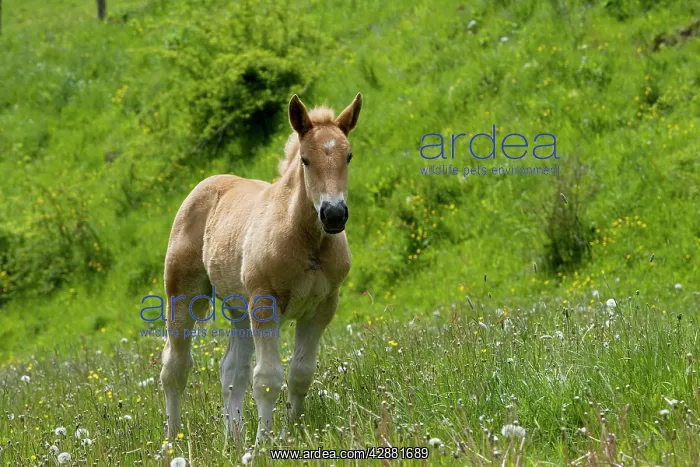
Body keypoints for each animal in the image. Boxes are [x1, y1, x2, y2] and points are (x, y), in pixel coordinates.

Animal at [159, 93, 362, 443]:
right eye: (305, 160)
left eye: (348, 156)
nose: (334, 214)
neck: (306, 241)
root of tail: (207, 182)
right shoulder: (265, 304)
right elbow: (267, 378)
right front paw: (264, 443)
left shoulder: (322, 307)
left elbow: (300, 373)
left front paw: (291, 432)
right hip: (184, 294)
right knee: (175, 366)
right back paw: (173, 440)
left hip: (239, 308)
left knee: (231, 371)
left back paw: (234, 440)